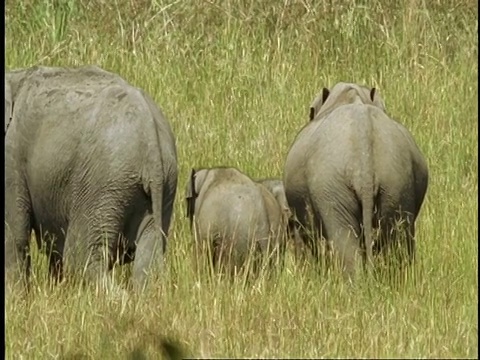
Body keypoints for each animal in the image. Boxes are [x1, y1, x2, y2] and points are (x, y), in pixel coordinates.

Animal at [5, 64, 178, 292]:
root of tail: (150, 137)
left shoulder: (10, 160)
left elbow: (13, 238)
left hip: (103, 183)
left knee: (81, 260)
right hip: (163, 186)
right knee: (147, 262)